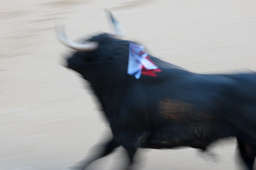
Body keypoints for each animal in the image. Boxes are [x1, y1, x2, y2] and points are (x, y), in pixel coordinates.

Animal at [63, 33, 256, 170]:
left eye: (84, 49)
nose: (65, 58)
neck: (123, 80)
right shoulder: (117, 132)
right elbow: (100, 150)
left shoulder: (130, 138)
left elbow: (124, 162)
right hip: (244, 141)